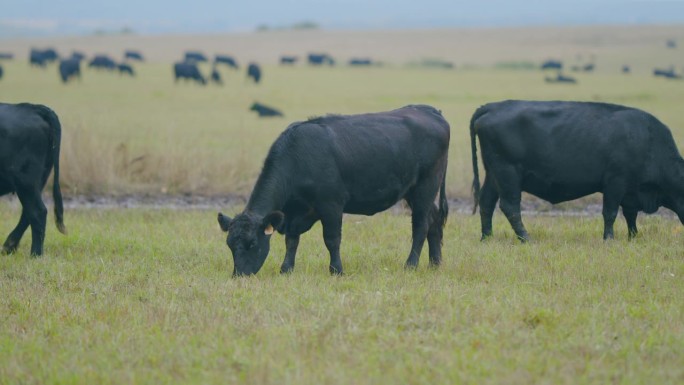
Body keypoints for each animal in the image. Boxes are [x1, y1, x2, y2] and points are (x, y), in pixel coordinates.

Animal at [0, 102, 66, 255]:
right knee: (27, 213)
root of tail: (33, 107)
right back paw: (9, 246)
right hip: (38, 180)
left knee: (38, 212)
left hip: (25, 181)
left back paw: (35, 254)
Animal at [219, 104, 452, 276]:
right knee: (434, 221)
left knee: (421, 226)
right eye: (230, 245)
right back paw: (435, 264)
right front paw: (286, 269)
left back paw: (411, 265)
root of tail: (430, 110)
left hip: (425, 187)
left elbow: (331, 239)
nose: (239, 275)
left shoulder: (331, 205)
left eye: (252, 243)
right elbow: (291, 241)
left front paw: (336, 270)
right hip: (415, 192)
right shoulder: (294, 213)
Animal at [470, 100, 684, 242]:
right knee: (510, 206)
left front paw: (633, 237)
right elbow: (610, 213)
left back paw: (487, 237)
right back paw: (526, 238)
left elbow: (630, 215)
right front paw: (609, 239)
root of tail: (493, 106)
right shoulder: (615, 183)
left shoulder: (630, 191)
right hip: (508, 175)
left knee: (486, 202)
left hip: (493, 175)